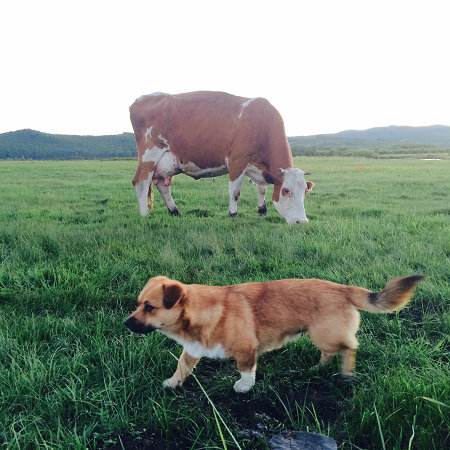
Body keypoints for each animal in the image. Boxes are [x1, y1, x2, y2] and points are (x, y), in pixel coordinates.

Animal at [124, 272, 426, 392]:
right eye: (138, 304)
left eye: (149, 307)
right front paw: (173, 383)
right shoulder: (193, 350)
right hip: (322, 336)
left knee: (350, 347)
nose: (126, 323)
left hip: (326, 335)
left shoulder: (246, 351)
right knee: (330, 353)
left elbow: (246, 371)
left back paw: (347, 374)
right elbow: (181, 367)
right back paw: (318, 370)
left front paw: (243, 388)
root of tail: (343, 288)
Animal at [129, 92, 312, 225]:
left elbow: (262, 189)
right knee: (141, 183)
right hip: (149, 156)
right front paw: (233, 214)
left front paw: (262, 210)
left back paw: (175, 211)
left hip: (166, 163)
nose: (302, 221)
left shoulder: (260, 168)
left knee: (161, 185)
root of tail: (142, 98)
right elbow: (235, 193)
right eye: (285, 190)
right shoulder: (237, 161)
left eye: (305, 191)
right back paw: (145, 215)